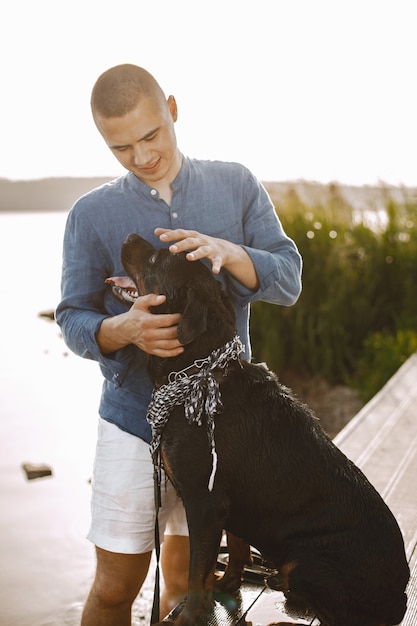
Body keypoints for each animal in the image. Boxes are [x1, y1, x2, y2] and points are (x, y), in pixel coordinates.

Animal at [109, 232, 408, 624]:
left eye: (157, 259)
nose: (129, 236)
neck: (196, 372)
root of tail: (400, 598)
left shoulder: (204, 503)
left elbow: (196, 573)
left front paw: (190, 614)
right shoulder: (231, 505)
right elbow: (234, 549)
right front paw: (227, 584)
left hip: (307, 560)